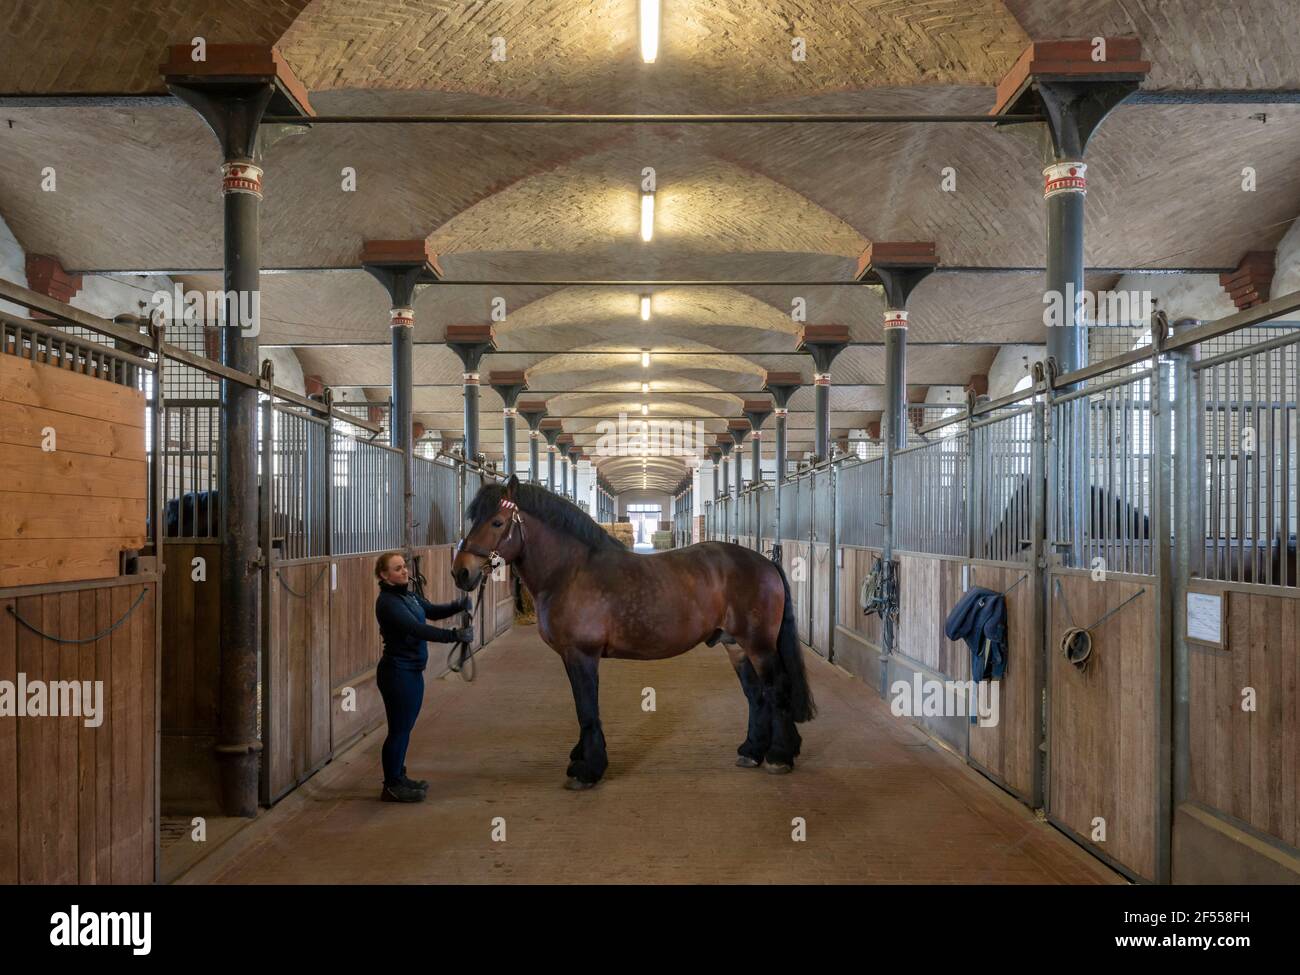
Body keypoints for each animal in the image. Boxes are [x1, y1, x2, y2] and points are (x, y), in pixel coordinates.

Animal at [449, 478, 811, 790]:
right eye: (474, 518)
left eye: (497, 522)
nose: (461, 572)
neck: (570, 571)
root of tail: (765, 563)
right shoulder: (570, 656)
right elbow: (581, 706)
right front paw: (582, 757)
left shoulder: (582, 655)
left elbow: (587, 708)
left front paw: (587, 769)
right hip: (735, 646)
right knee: (756, 694)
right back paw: (752, 751)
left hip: (759, 646)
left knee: (776, 690)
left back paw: (779, 756)